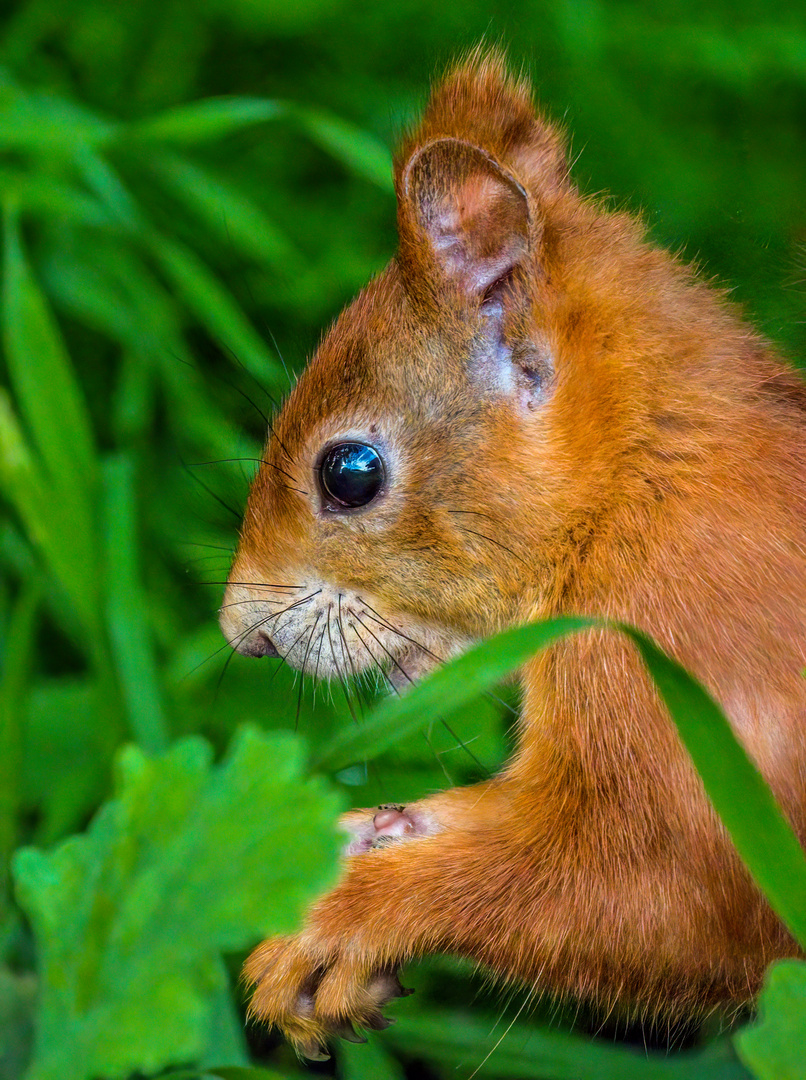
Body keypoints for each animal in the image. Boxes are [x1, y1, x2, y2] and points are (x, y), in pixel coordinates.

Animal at [218, 48, 803, 1054]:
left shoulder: (684, 687)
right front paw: (362, 833)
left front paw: (342, 921)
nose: (237, 632)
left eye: (350, 472)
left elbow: (660, 897)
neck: (636, 492)